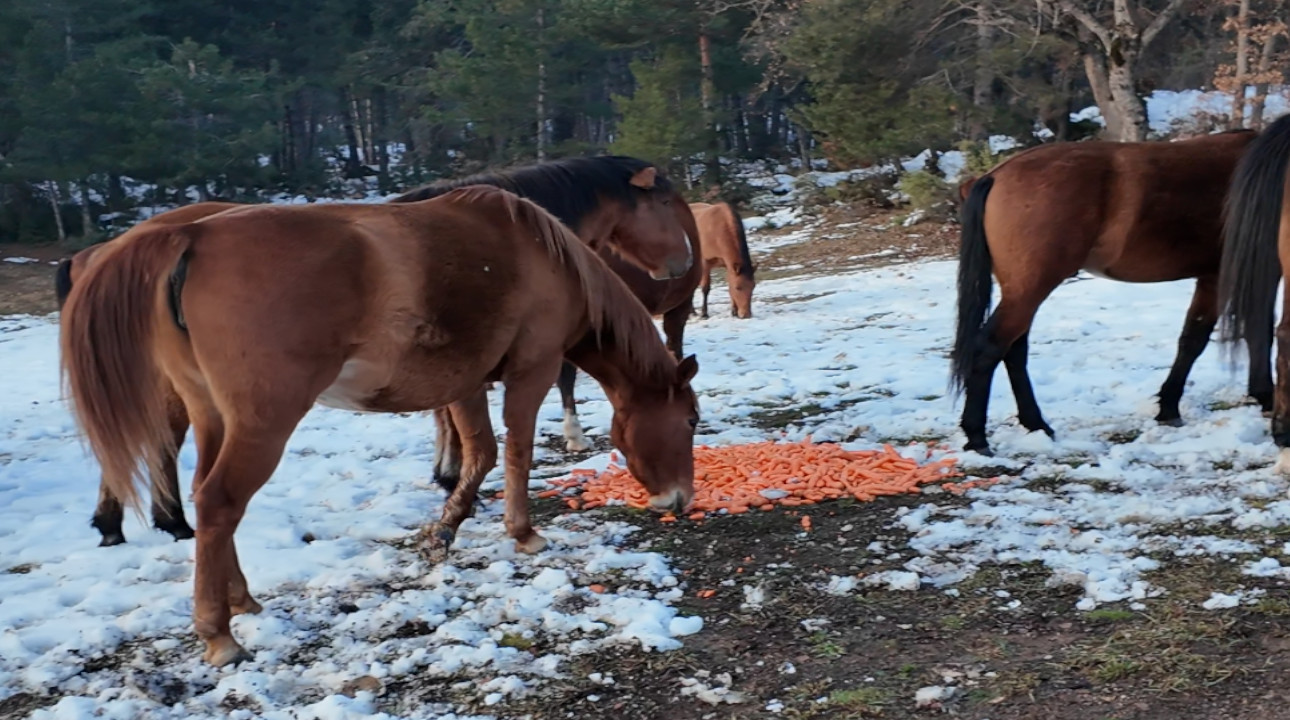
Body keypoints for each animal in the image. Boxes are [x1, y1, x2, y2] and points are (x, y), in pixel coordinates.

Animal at [954, 129, 1274, 456]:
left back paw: (1036, 424)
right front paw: (1265, 396)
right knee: (989, 348)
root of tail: (993, 176)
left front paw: (1169, 407)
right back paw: (977, 436)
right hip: (1028, 291)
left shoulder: (1211, 277)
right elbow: (1253, 332)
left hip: (1020, 292)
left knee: (1014, 352)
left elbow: (1191, 340)